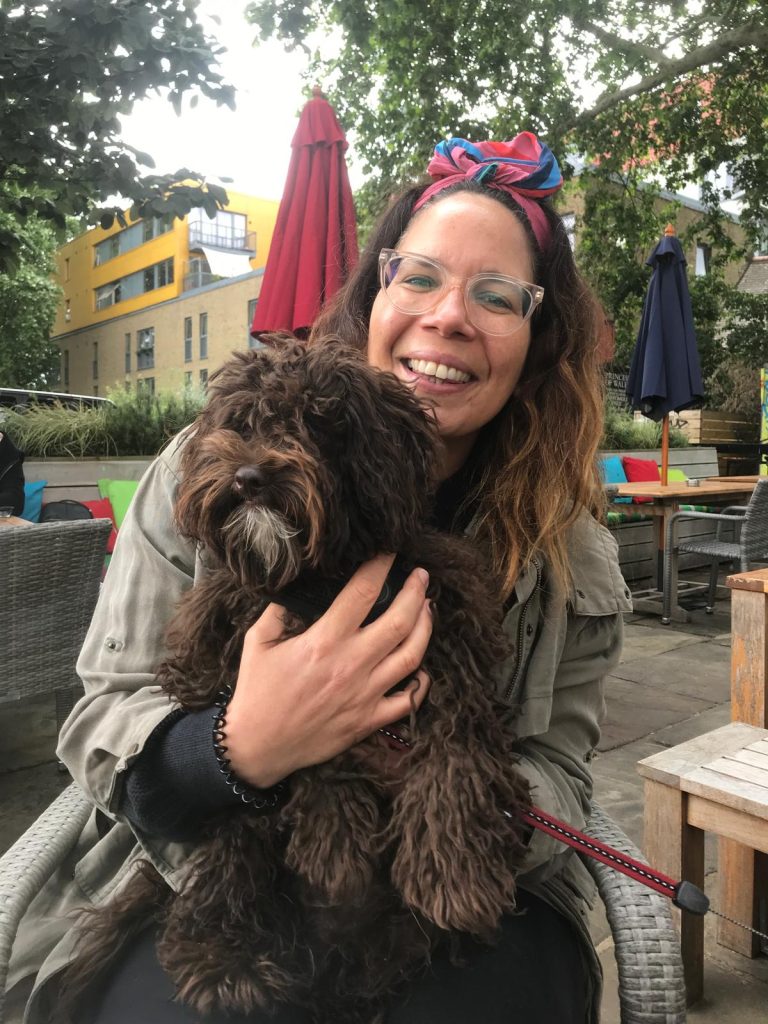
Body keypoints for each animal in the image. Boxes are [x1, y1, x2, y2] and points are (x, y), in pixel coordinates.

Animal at [60, 342, 532, 1024]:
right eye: (241, 423)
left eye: (318, 421)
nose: (249, 477)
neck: (320, 582)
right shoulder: (232, 667)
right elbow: (315, 756)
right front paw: (334, 834)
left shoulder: (453, 639)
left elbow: (458, 747)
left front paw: (456, 871)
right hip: (237, 814)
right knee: (227, 861)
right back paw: (224, 962)